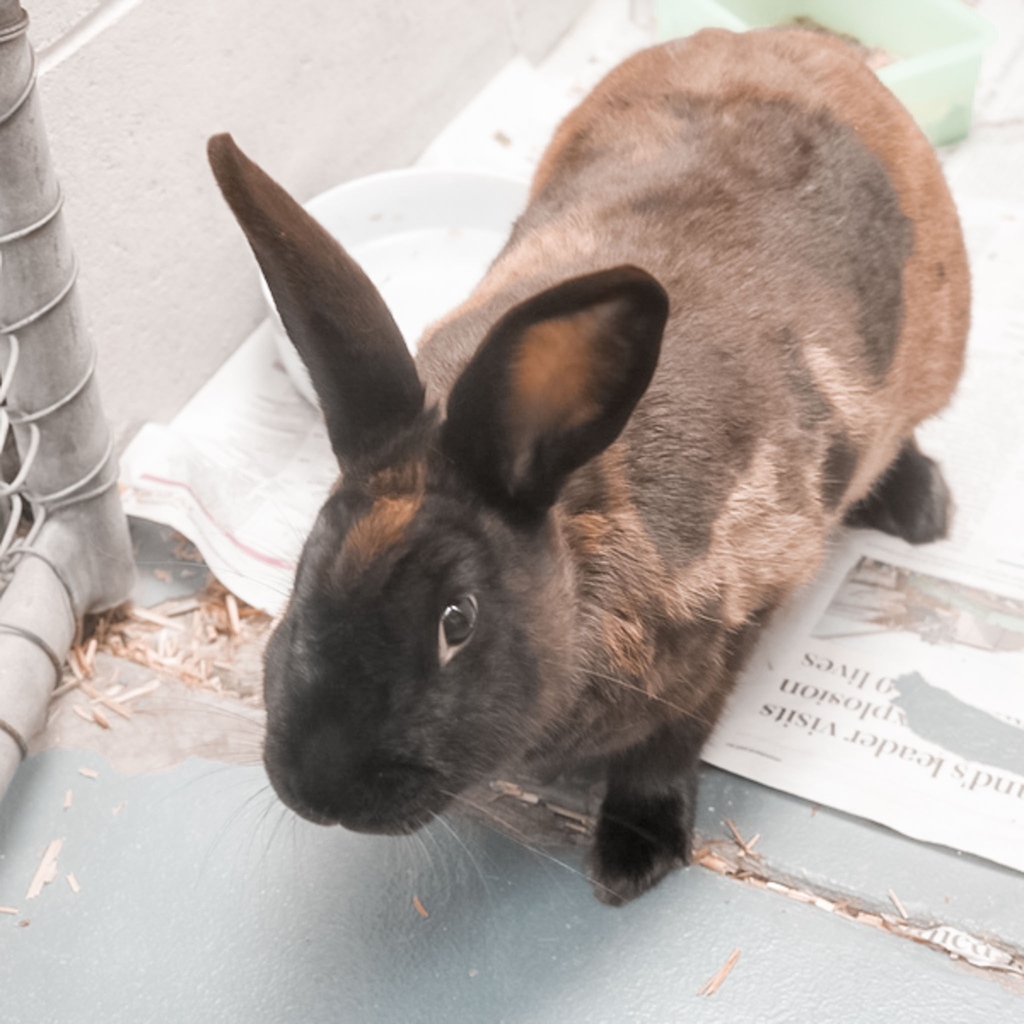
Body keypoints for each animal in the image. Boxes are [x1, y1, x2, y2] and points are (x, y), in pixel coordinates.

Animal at [207, 26, 969, 905]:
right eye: (303, 571)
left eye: (457, 621)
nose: (320, 791)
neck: (579, 521)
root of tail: (794, 40)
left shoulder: (736, 625)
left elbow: (669, 746)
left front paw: (631, 860)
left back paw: (922, 510)